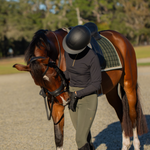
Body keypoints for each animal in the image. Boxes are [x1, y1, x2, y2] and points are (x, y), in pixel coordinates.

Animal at [13, 27, 148, 150]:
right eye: (37, 83)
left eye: (55, 75)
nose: (65, 100)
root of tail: (121, 37)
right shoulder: (56, 104)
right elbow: (59, 138)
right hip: (111, 91)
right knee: (121, 112)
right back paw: (125, 144)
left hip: (129, 85)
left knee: (132, 115)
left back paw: (136, 144)